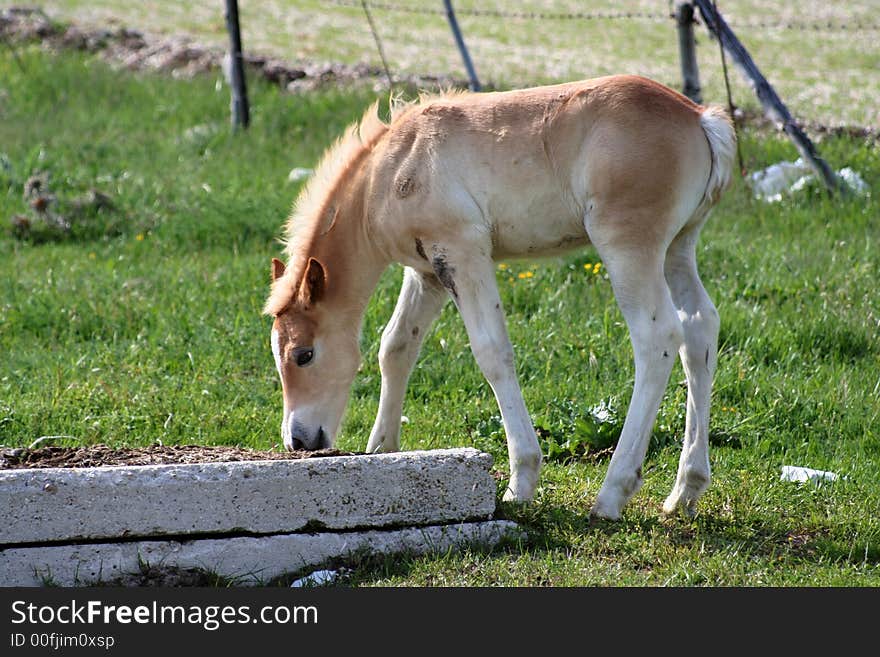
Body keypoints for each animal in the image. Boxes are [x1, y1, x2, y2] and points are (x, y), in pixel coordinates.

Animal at [266, 75, 736, 516]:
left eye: (303, 355)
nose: (298, 440)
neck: (392, 168)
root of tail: (699, 117)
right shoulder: (426, 272)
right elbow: (395, 347)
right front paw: (381, 448)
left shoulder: (462, 251)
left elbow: (492, 352)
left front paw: (521, 482)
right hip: (678, 247)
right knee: (700, 327)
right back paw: (686, 490)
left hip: (627, 246)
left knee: (657, 338)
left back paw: (612, 494)